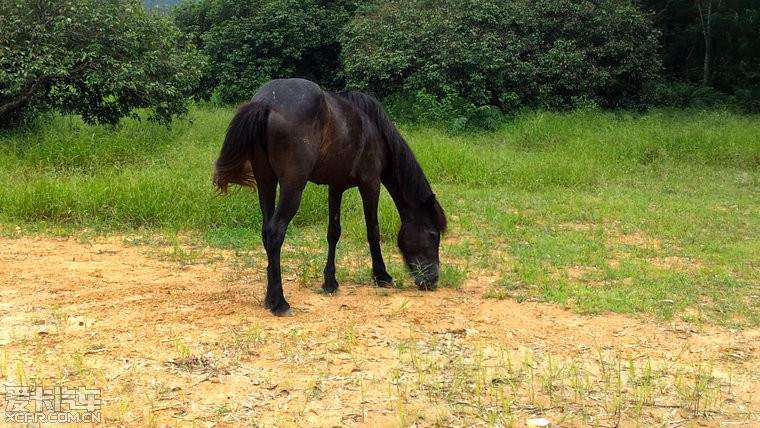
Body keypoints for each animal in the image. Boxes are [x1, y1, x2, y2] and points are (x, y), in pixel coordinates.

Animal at [212, 78, 446, 316]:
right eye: (433, 235)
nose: (433, 279)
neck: (374, 130)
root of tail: (267, 102)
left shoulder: (336, 187)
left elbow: (333, 232)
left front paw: (330, 282)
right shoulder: (370, 184)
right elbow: (373, 231)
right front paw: (382, 276)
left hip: (266, 182)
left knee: (265, 232)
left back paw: (270, 299)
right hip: (292, 188)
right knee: (275, 231)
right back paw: (279, 302)